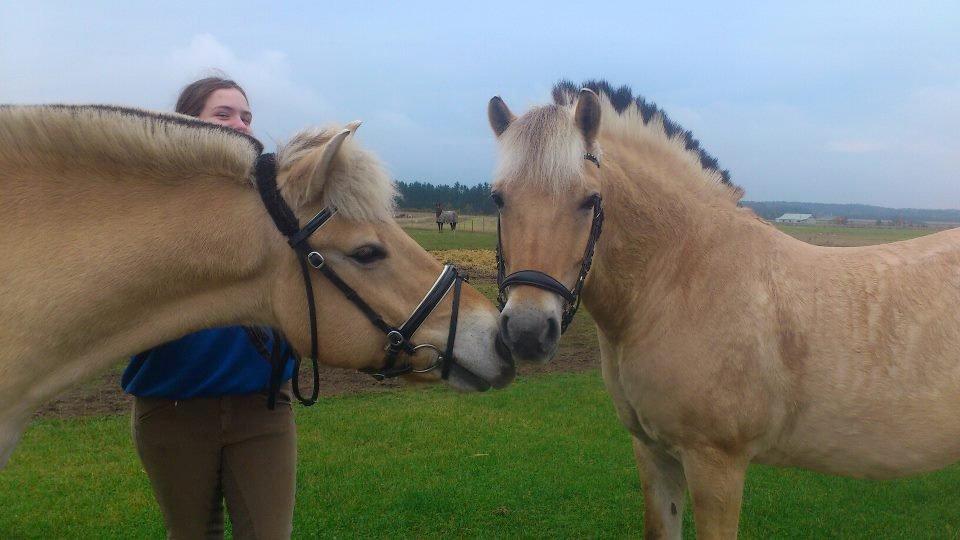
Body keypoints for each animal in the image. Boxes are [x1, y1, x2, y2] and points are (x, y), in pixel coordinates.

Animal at [488, 81, 960, 540]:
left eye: (589, 200)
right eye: (498, 199)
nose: (528, 331)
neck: (683, 274)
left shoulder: (716, 463)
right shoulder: (654, 453)